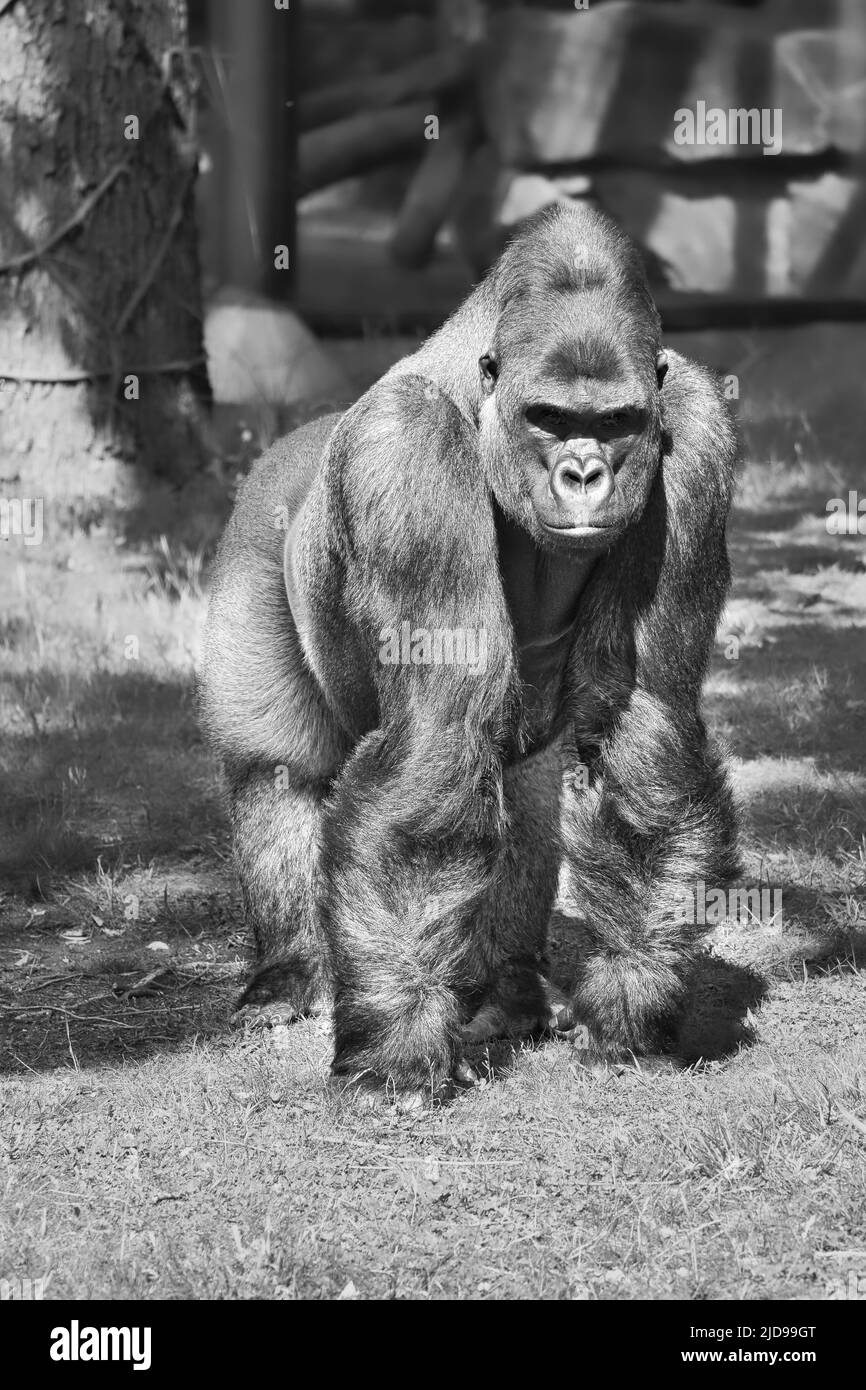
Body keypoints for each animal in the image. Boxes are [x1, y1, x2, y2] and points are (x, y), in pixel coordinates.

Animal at [199, 201, 739, 1100]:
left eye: (617, 423)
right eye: (549, 419)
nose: (584, 474)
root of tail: (297, 436)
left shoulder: (696, 433)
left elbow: (646, 717)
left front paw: (632, 994)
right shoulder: (404, 448)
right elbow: (434, 739)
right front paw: (395, 1045)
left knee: (522, 796)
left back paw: (505, 993)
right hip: (251, 544)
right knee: (277, 766)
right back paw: (288, 970)